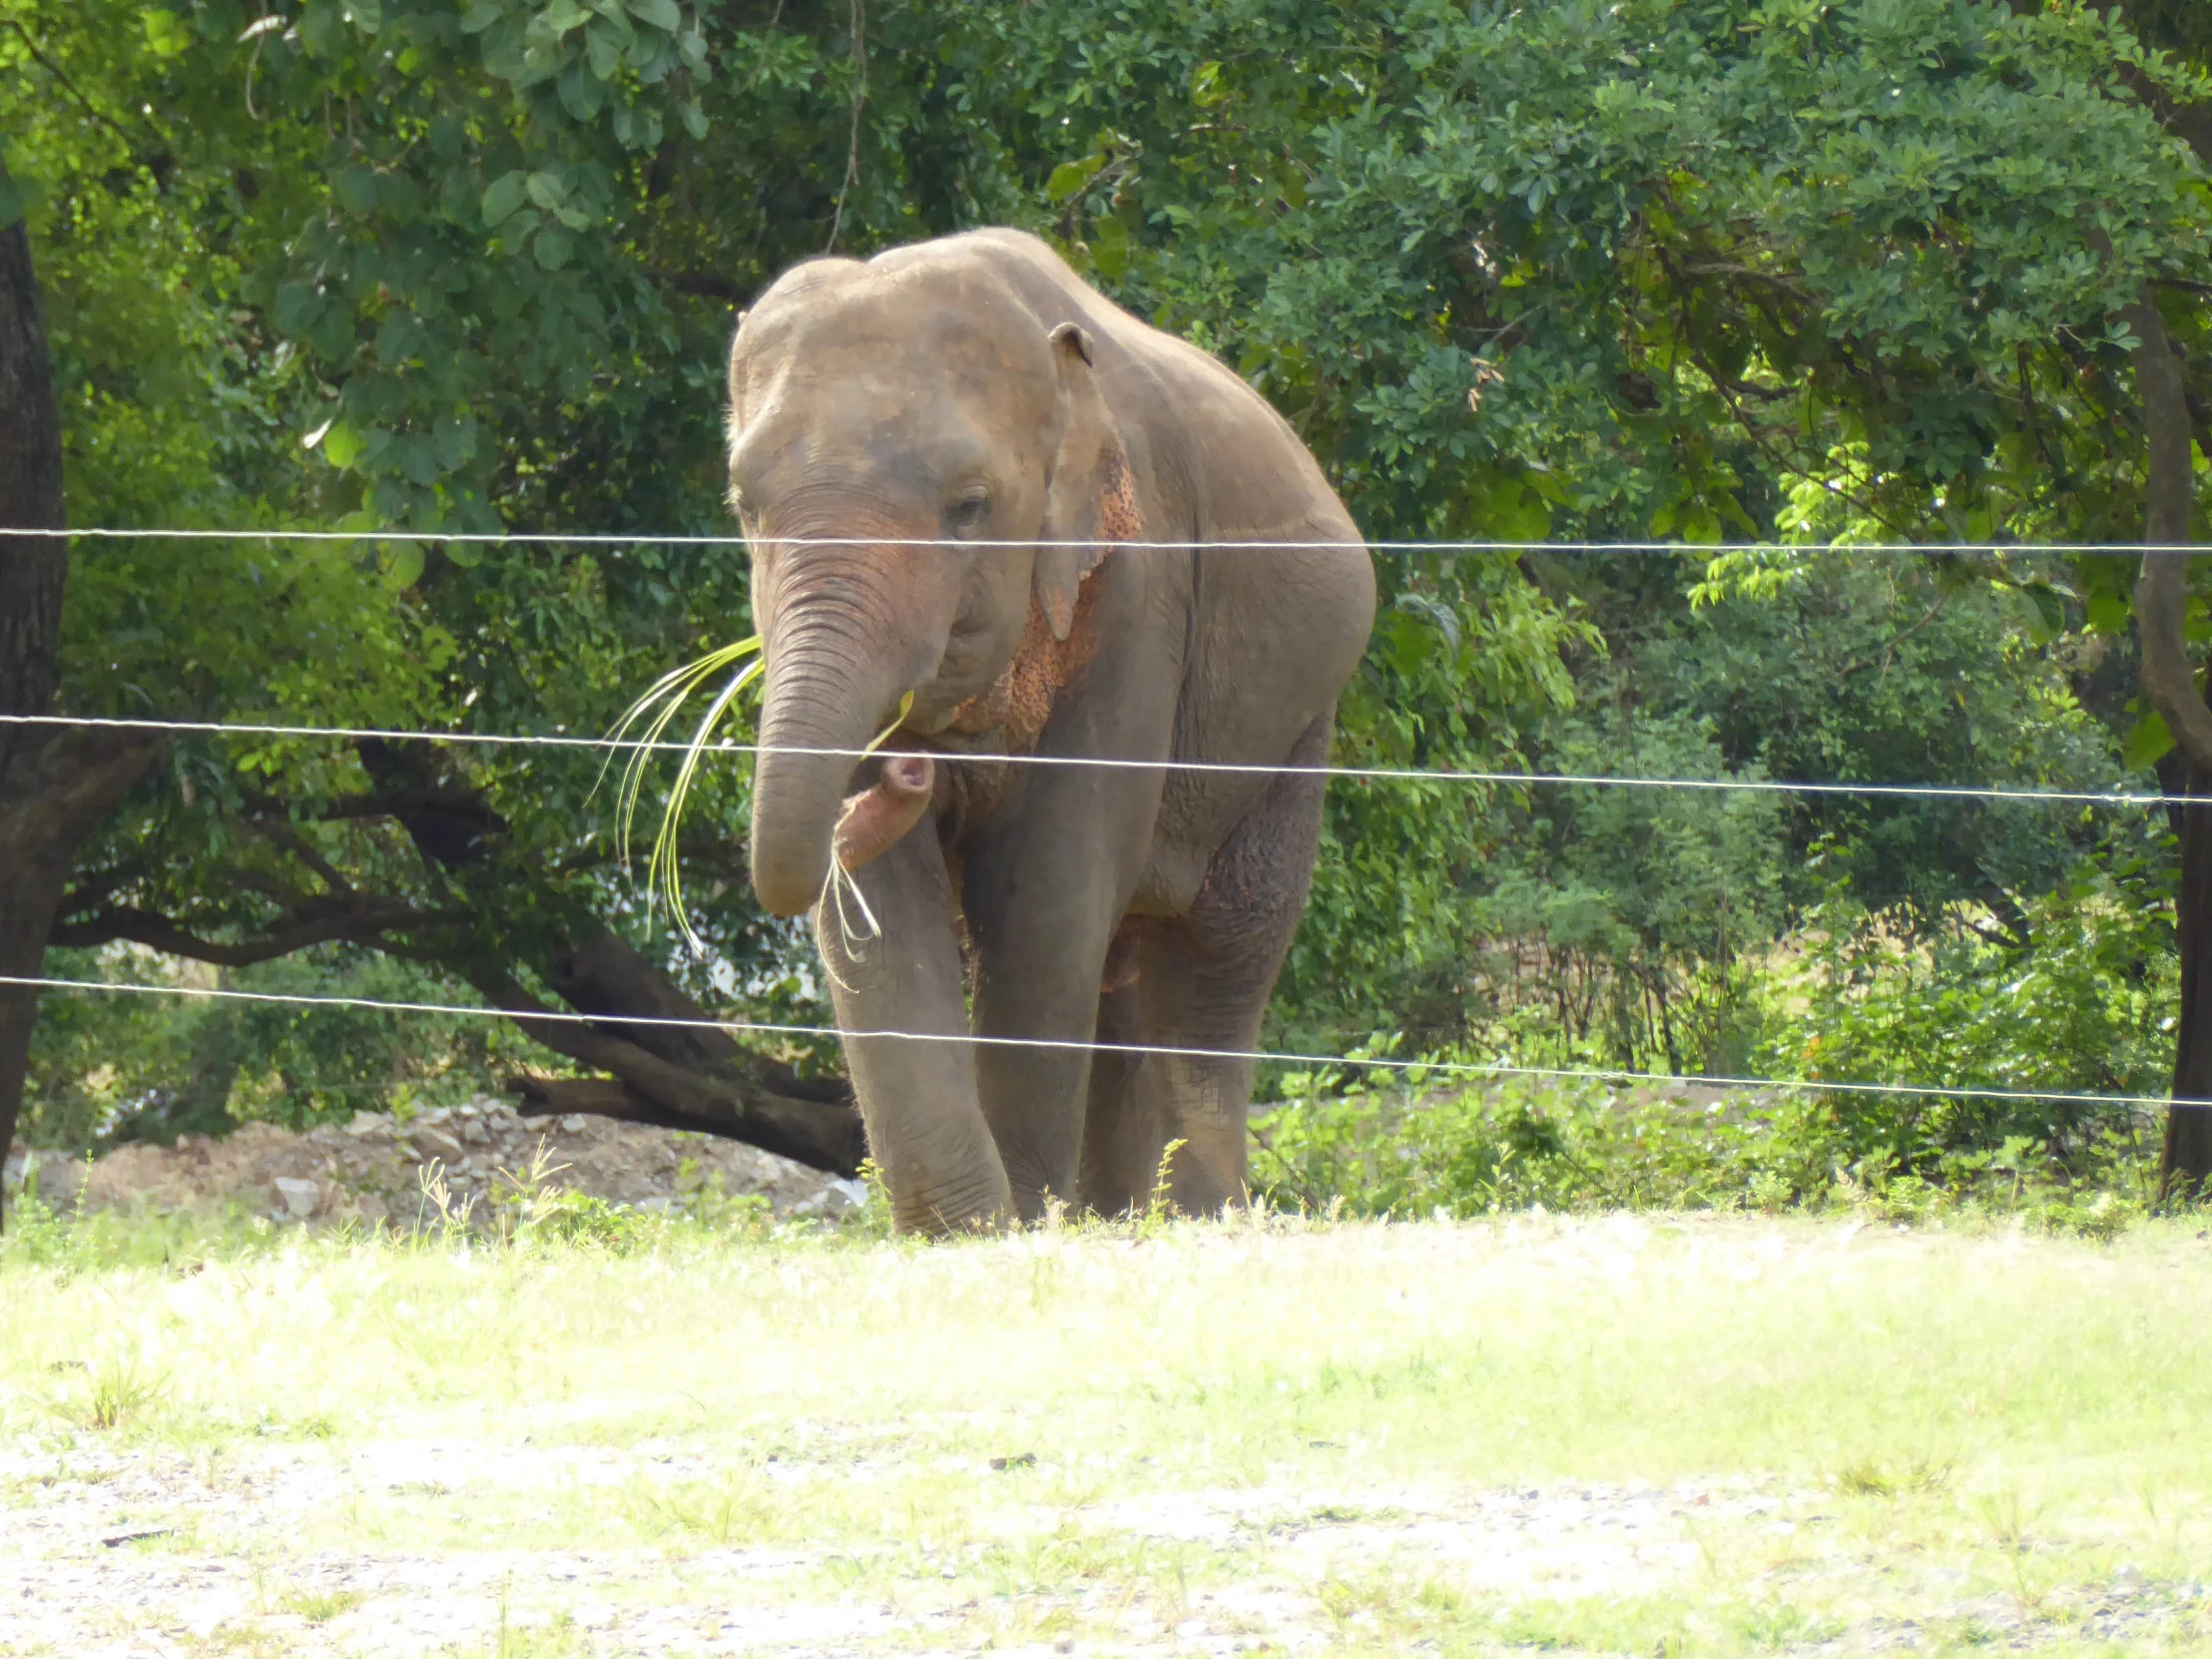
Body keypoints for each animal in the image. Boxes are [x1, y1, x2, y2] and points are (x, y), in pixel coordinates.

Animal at [725, 228, 1371, 1238]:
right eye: (745, 504)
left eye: (969, 506)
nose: (907, 767)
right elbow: (877, 912)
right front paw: (967, 1234)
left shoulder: (1139, 599)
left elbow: (1047, 902)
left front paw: (1020, 1223)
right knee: (1130, 975)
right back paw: (1122, 1218)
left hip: (1297, 723)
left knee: (1219, 953)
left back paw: (1193, 1216)